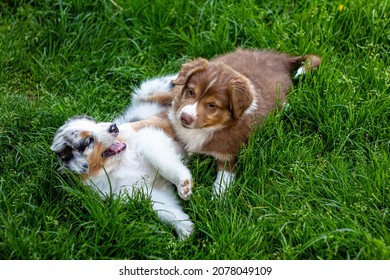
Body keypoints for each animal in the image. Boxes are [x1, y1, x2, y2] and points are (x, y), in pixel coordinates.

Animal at [145, 48, 322, 197]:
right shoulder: (173, 122)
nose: (184, 118)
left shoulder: (228, 153)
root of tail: (279, 58)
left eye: (212, 105)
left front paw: (218, 200)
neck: (205, 129)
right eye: (190, 92)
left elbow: (225, 177)